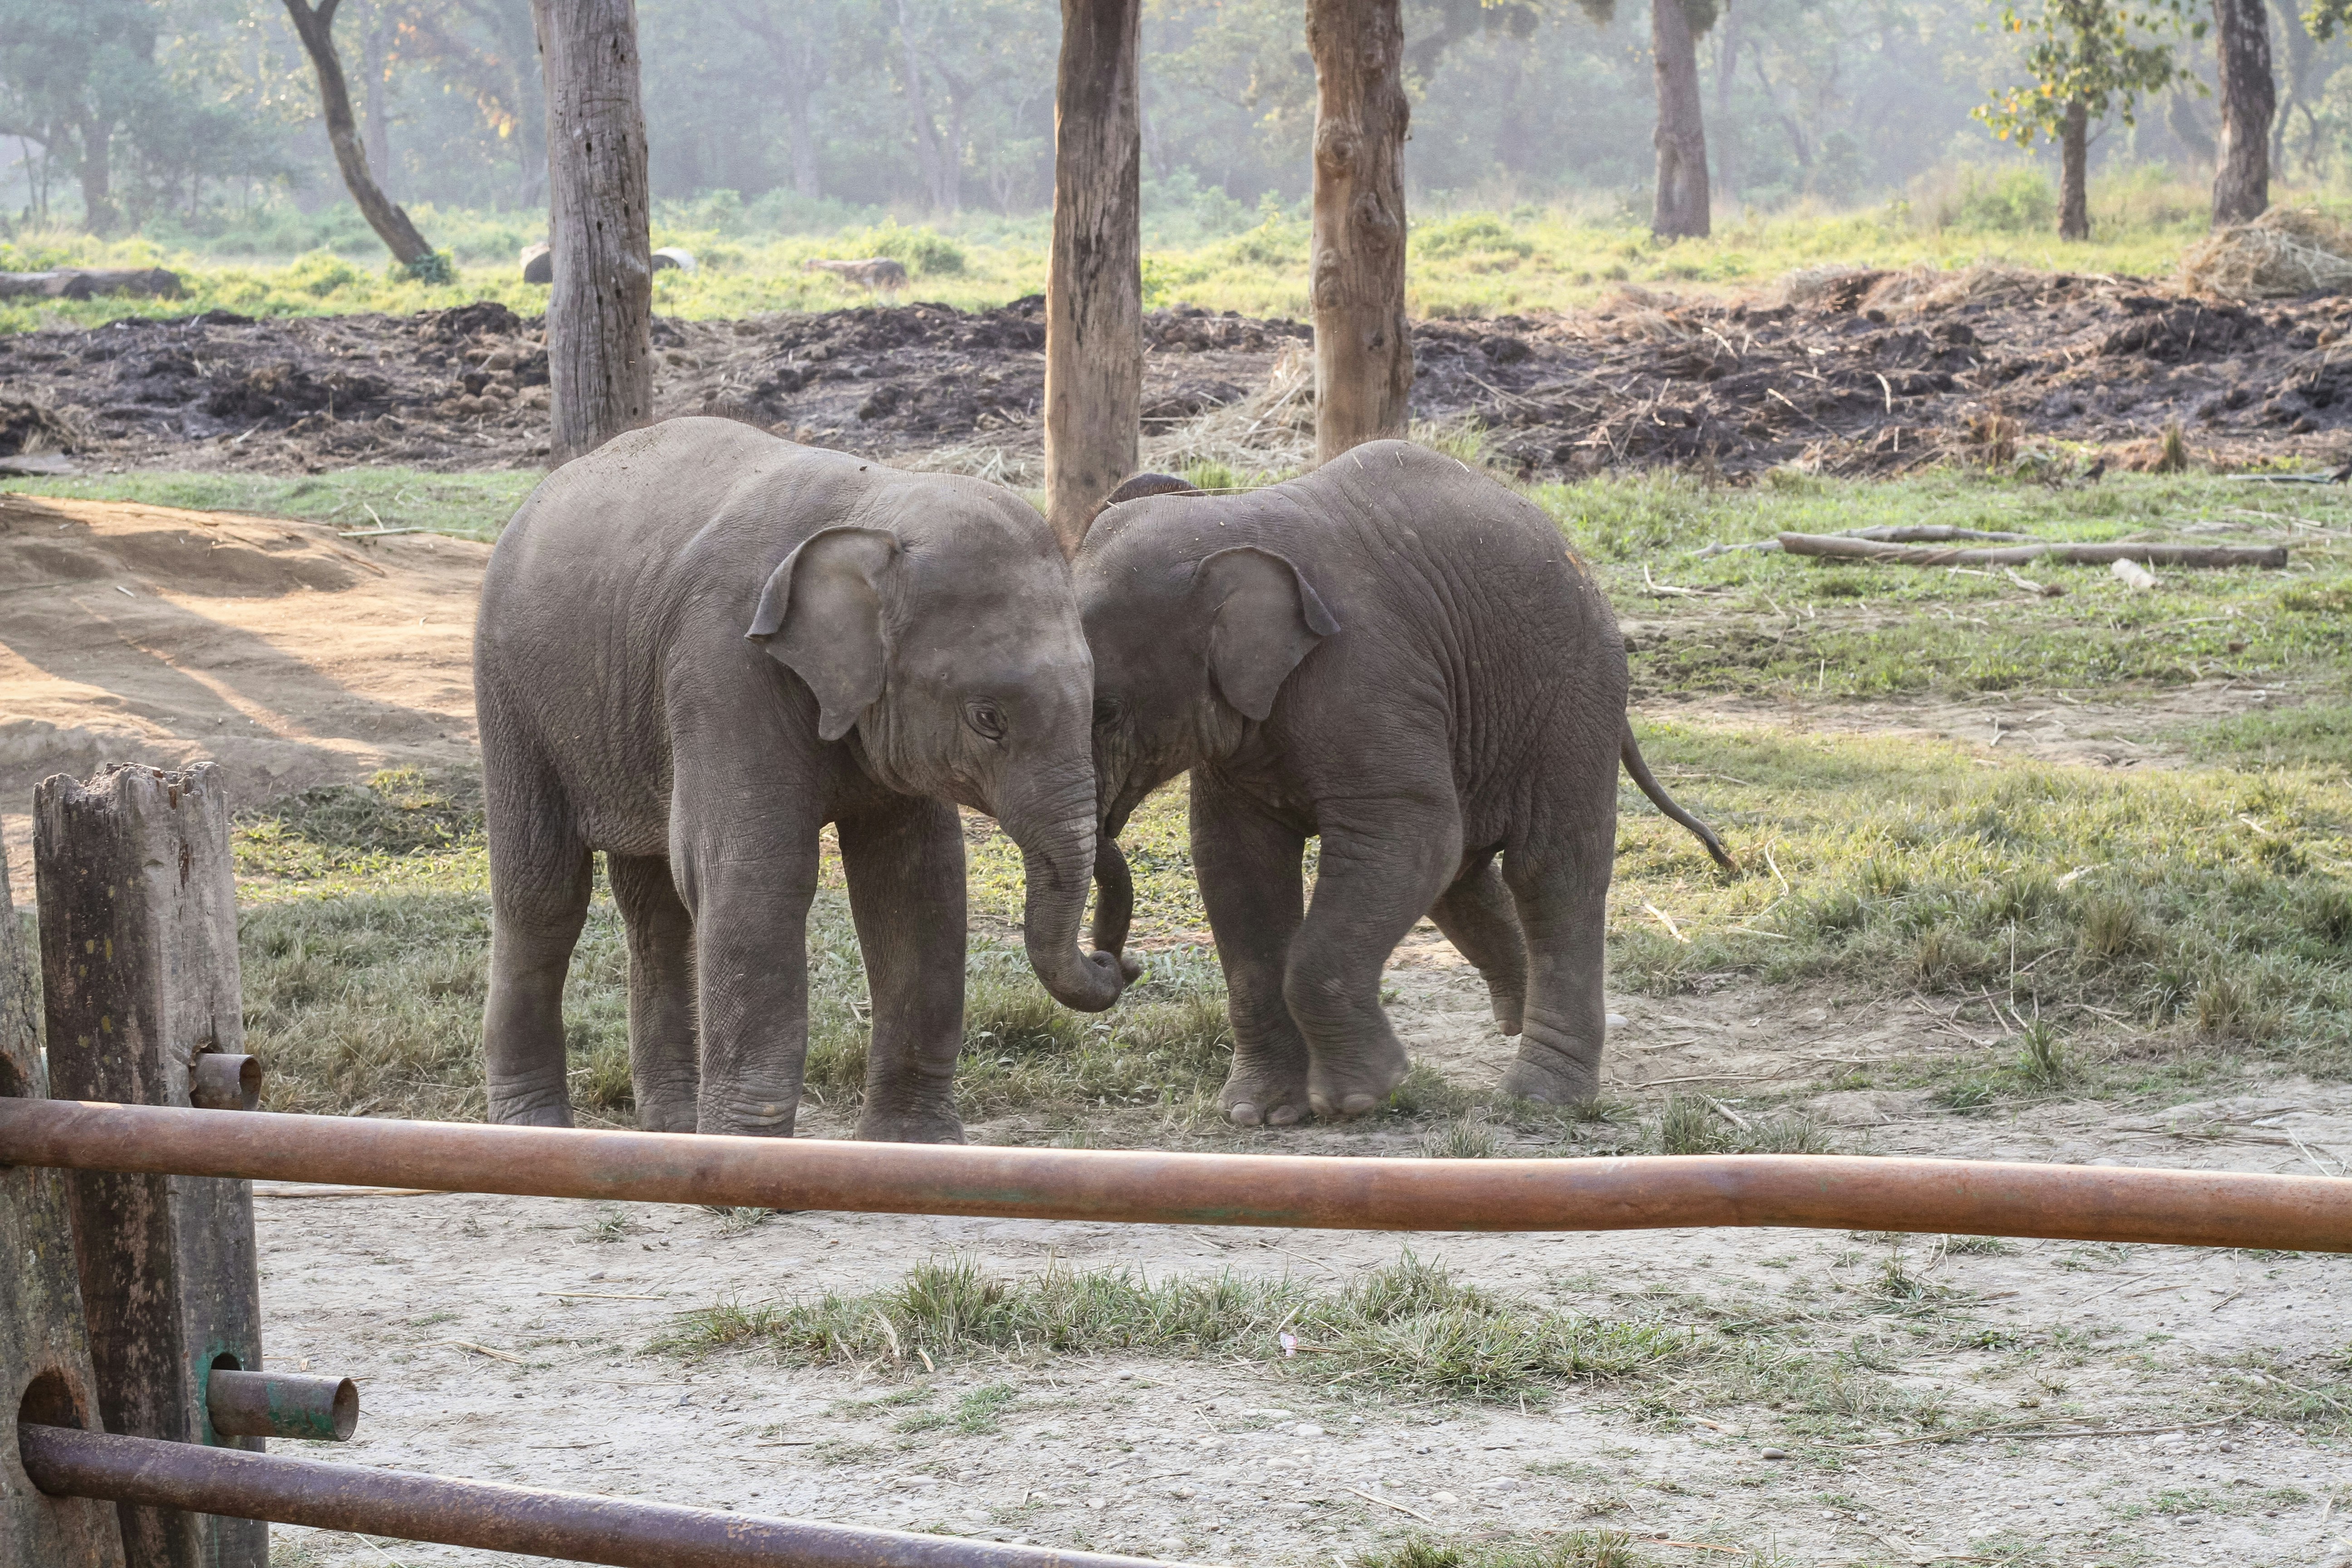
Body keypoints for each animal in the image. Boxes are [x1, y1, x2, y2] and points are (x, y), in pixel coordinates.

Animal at [473, 417, 1125, 1142]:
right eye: (988, 718)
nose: (1115, 962)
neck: (877, 510)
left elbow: (917, 881)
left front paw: (917, 1146)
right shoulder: (722, 664)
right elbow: (755, 873)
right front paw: (744, 1156)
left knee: (655, 906)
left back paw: (670, 1127)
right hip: (512, 698)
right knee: (543, 893)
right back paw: (536, 1129)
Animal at [1075, 442, 1732, 1127]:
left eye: (1106, 711)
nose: (1123, 964)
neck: (1225, 516)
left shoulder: (1366, 674)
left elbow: (1410, 835)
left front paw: (1360, 1099)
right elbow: (1234, 862)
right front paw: (1260, 1114)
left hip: (1573, 696)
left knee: (1548, 871)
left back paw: (1540, 1097)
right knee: (1461, 876)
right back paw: (1514, 1020)